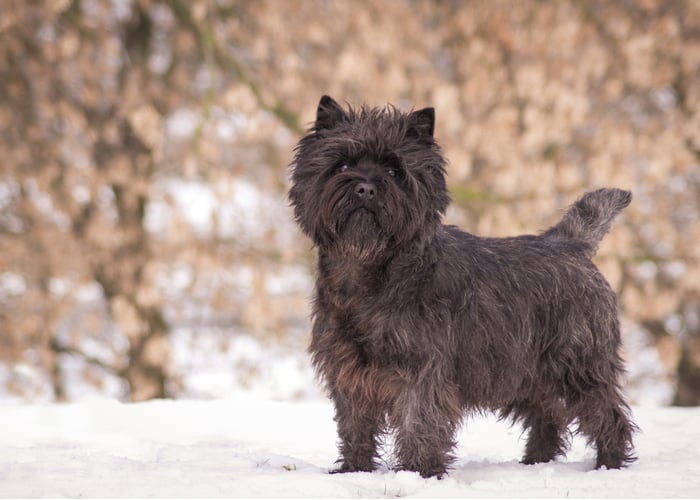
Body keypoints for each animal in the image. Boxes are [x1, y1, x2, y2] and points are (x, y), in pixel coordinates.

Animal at [288, 96, 636, 476]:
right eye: (343, 164)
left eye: (394, 171)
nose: (365, 187)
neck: (369, 272)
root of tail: (569, 243)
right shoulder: (349, 370)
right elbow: (355, 424)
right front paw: (354, 468)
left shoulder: (422, 370)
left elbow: (419, 421)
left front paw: (420, 472)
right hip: (526, 372)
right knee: (548, 414)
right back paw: (534, 461)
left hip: (577, 366)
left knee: (606, 413)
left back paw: (609, 464)